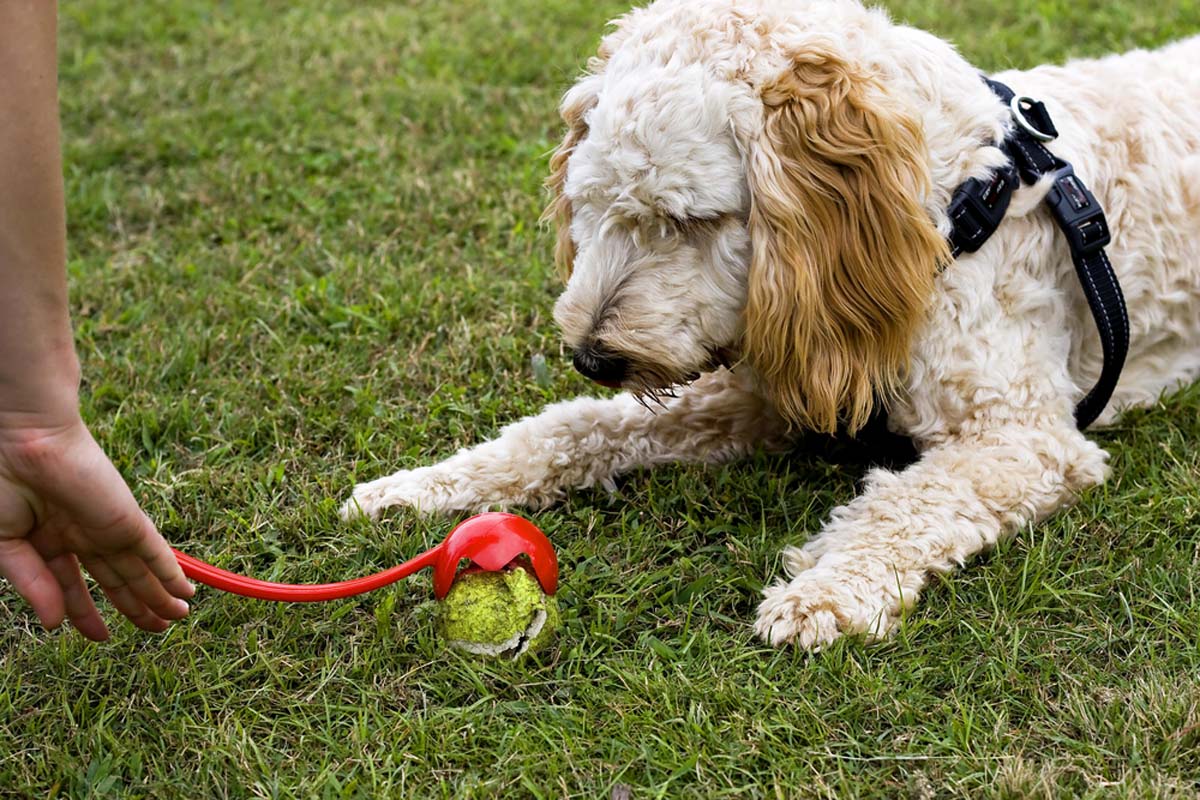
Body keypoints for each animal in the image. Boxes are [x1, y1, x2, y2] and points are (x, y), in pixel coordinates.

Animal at [340, 0, 1200, 647]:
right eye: (591, 202)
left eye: (690, 219)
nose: (592, 357)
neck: (945, 214)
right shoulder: (768, 391)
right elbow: (573, 427)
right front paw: (423, 486)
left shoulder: (1024, 437)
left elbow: (907, 503)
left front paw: (827, 589)